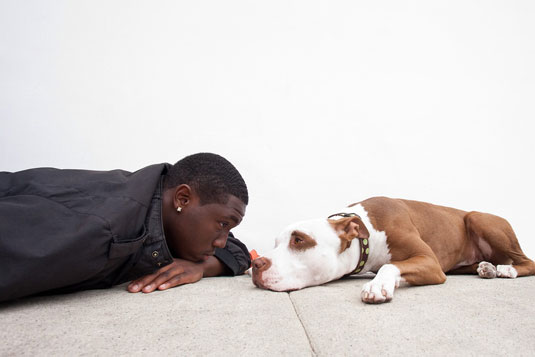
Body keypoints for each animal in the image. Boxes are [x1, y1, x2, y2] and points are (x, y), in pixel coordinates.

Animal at [251, 196, 535, 302]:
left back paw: (506, 270)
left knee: (527, 262)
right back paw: (487, 267)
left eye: (299, 240)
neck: (368, 232)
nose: (256, 264)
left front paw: (377, 285)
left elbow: (390, 265)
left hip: (478, 218)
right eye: (275, 243)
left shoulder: (429, 260)